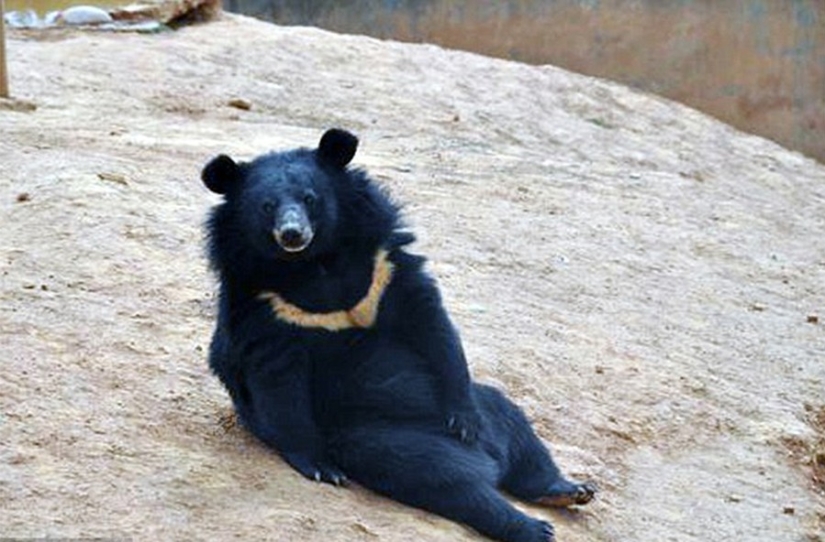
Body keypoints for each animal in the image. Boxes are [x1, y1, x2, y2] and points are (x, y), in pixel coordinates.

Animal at [201, 128, 597, 542]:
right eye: (266, 206)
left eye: (310, 198)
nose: (293, 234)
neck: (315, 263)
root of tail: (490, 457)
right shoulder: (268, 309)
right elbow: (279, 388)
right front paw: (321, 467)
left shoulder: (383, 267)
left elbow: (431, 322)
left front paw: (463, 420)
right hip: (381, 439)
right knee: (449, 481)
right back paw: (533, 527)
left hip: (492, 409)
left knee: (520, 435)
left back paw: (568, 489)